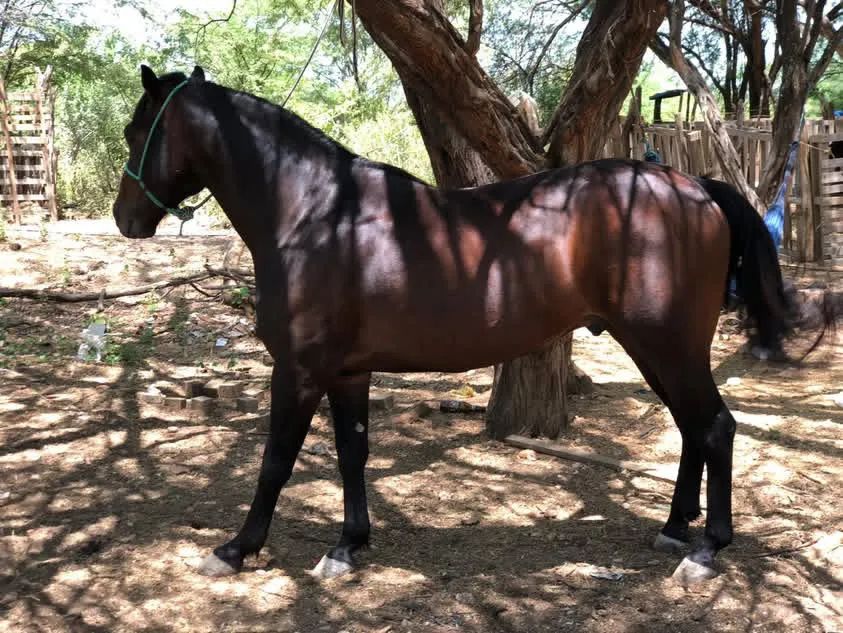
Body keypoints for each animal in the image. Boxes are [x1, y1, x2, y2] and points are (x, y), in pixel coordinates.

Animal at [112, 65, 805, 585]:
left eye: (133, 130)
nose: (125, 218)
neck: (317, 215)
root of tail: (696, 186)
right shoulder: (347, 372)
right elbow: (352, 452)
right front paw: (348, 546)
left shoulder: (299, 371)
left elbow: (276, 461)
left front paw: (236, 548)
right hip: (655, 348)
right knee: (692, 429)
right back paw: (674, 528)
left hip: (668, 346)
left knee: (714, 427)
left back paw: (707, 549)